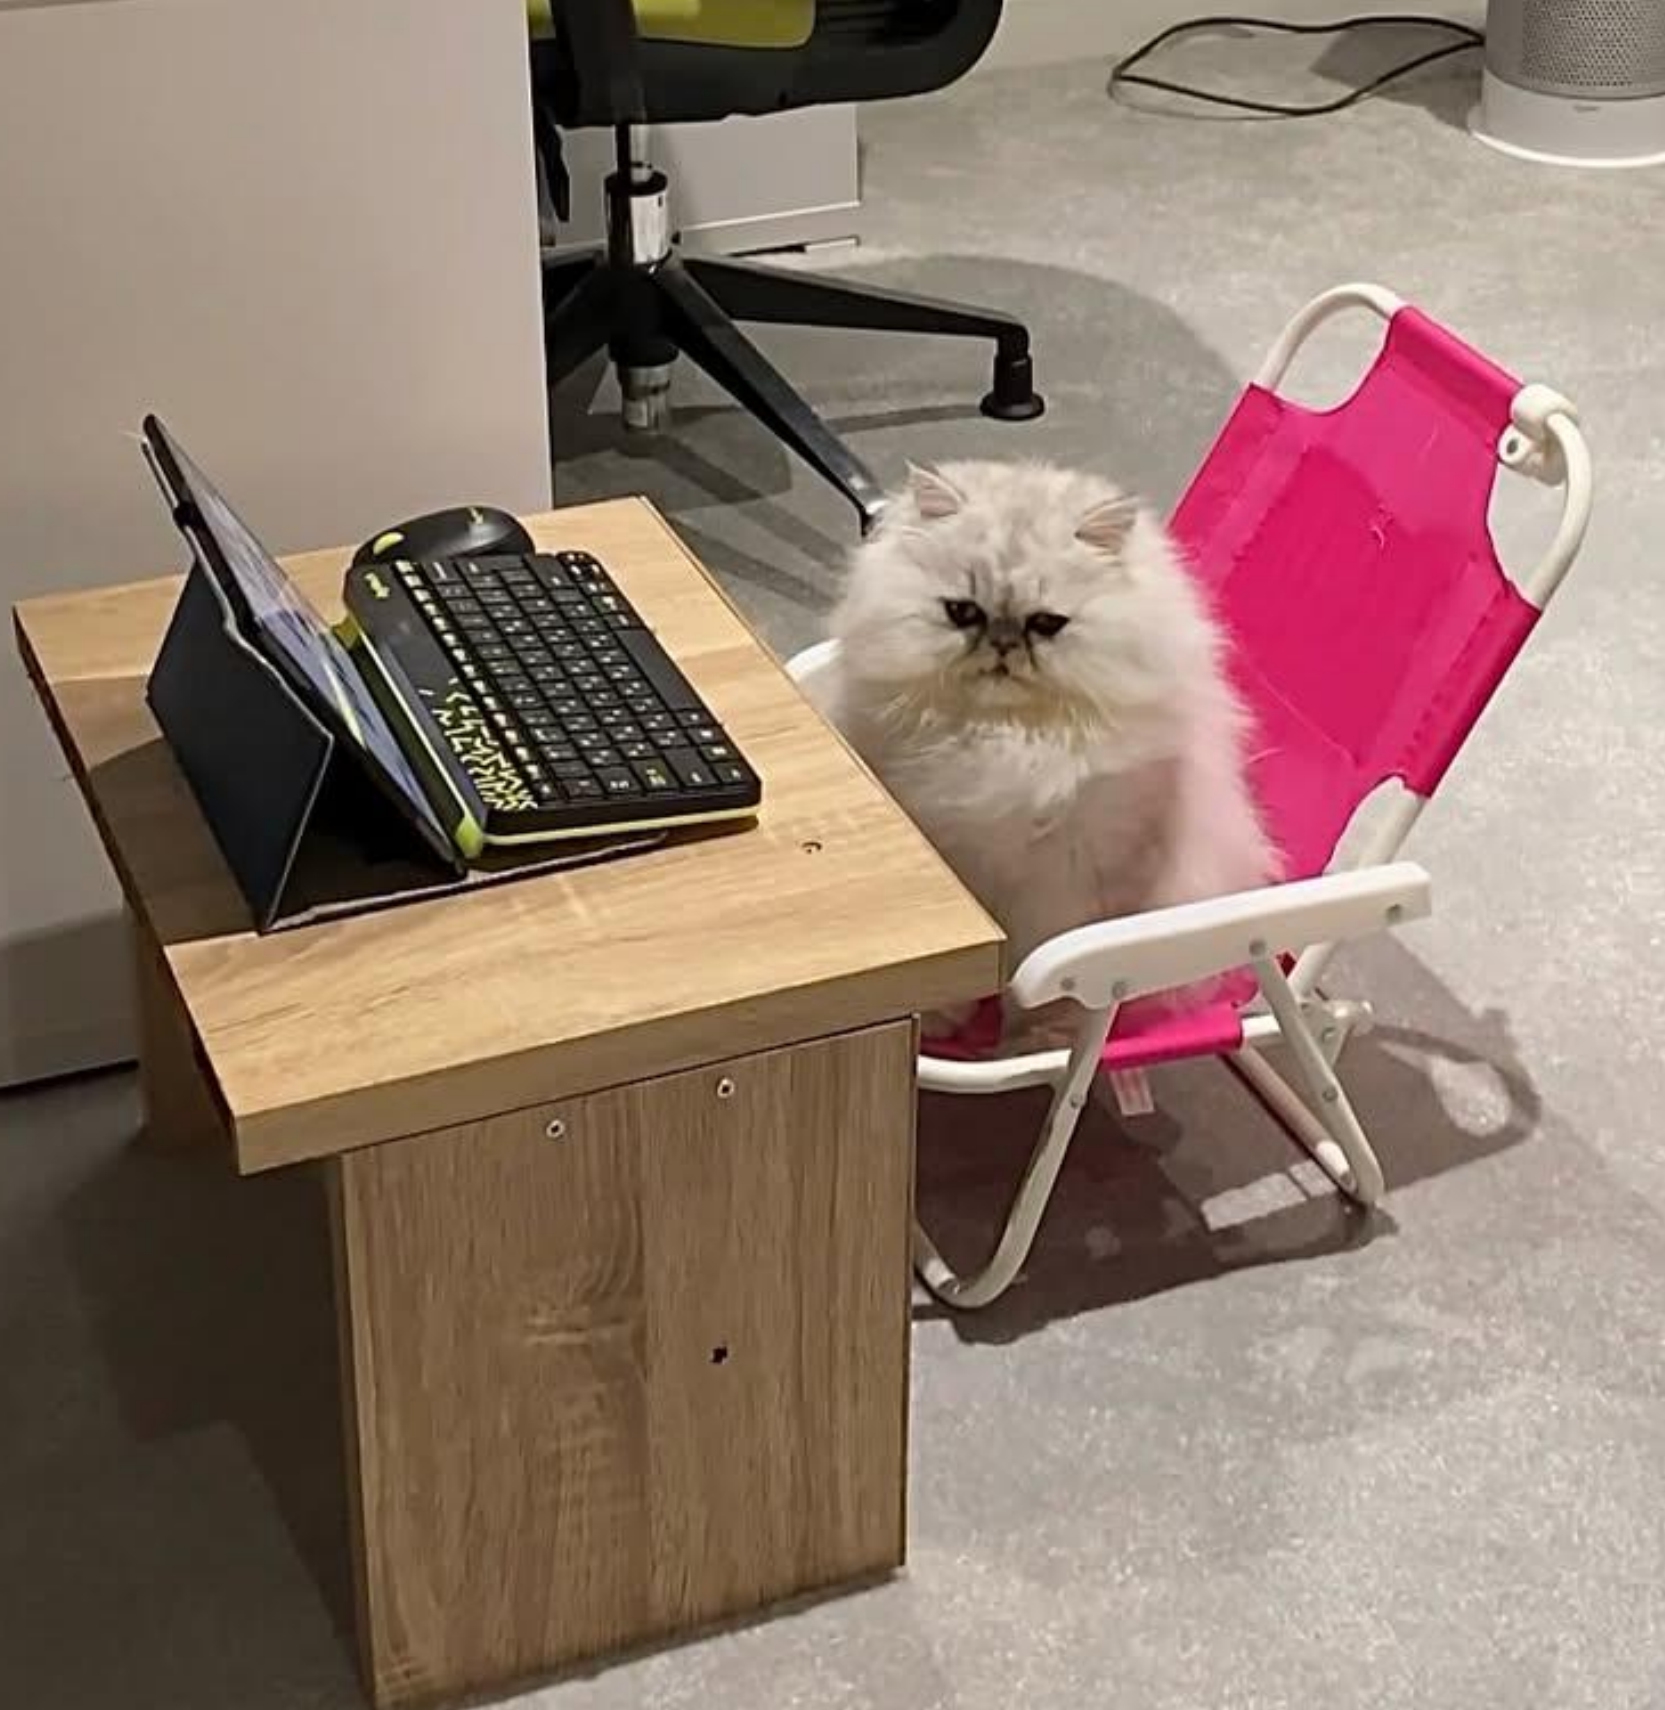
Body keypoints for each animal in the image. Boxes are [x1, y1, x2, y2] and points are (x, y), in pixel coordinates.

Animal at [808, 458, 1277, 1043]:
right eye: (963, 612)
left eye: (1046, 624)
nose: (1002, 646)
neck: (1008, 741)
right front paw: (945, 1020)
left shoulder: (1075, 887)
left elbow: (1045, 986)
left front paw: (1032, 1035)